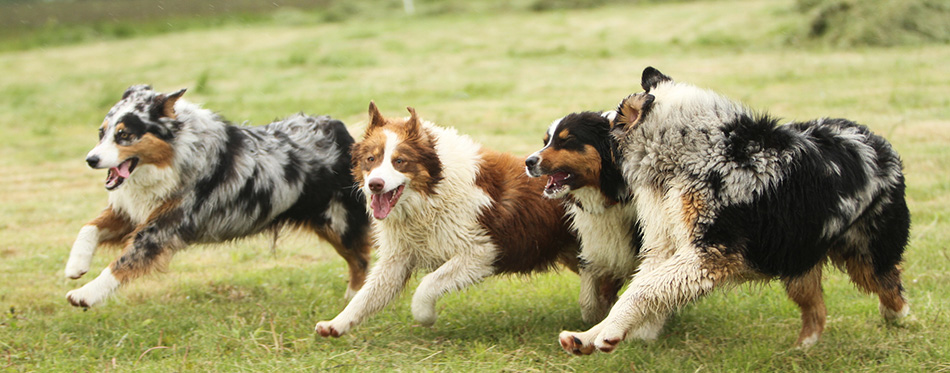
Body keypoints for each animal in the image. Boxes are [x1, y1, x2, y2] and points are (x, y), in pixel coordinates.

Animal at [64, 85, 372, 306]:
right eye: (101, 133)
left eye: (124, 135)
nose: (91, 160)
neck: (176, 155)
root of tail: (344, 132)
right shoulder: (135, 211)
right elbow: (88, 228)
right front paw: (76, 265)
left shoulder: (162, 228)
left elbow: (123, 263)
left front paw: (86, 294)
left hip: (339, 222)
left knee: (361, 260)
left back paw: (354, 298)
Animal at [316, 102, 580, 338]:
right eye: (371, 159)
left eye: (399, 161)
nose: (375, 185)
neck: (433, 191)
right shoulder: (398, 257)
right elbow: (366, 296)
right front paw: (336, 324)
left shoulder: (481, 250)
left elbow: (427, 284)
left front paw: (425, 315)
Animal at [520, 111, 648, 326]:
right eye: (546, 141)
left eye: (567, 140)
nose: (528, 162)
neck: (611, 196)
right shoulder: (595, 247)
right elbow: (588, 300)